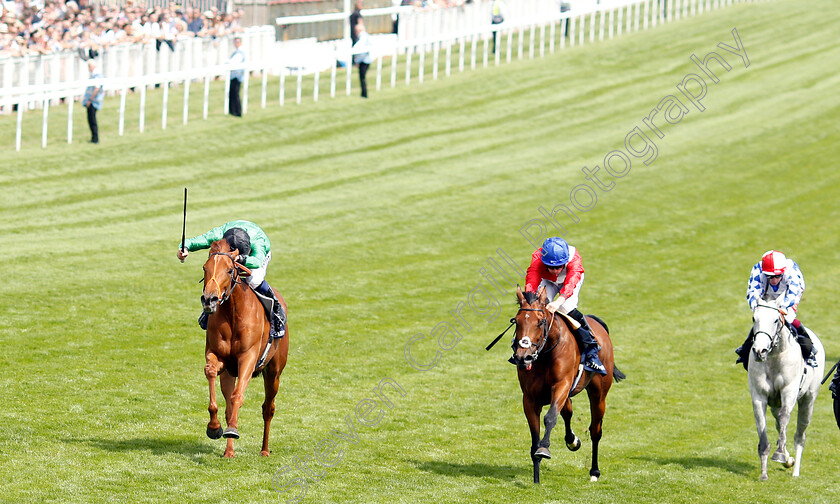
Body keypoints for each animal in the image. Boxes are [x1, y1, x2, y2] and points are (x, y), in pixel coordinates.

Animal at [200, 239, 288, 456]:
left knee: (268, 408)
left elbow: (238, 396)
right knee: (229, 406)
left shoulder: (248, 358)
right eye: (205, 268)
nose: (209, 299)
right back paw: (228, 450)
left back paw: (264, 450)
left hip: (274, 373)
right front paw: (214, 427)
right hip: (229, 374)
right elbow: (211, 372)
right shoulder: (218, 357)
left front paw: (231, 429)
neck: (233, 312)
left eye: (230, 270)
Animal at [506, 286, 624, 482]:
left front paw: (544, 449)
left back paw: (594, 471)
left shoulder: (561, 385)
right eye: (517, 321)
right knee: (568, 412)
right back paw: (572, 440)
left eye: (540, 322)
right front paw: (536, 477)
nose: (523, 358)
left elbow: (550, 417)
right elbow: (535, 433)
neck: (545, 354)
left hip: (599, 394)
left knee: (595, 430)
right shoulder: (530, 398)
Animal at [748, 302, 820, 478]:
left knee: (800, 435)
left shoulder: (789, 392)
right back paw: (789, 461)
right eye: (754, 318)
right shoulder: (759, 397)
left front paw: (779, 454)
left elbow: (784, 417)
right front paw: (764, 474)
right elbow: (764, 430)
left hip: (808, 401)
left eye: (775, 320)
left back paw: (795, 471)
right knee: (778, 423)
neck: (774, 358)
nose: (760, 351)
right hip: (775, 404)